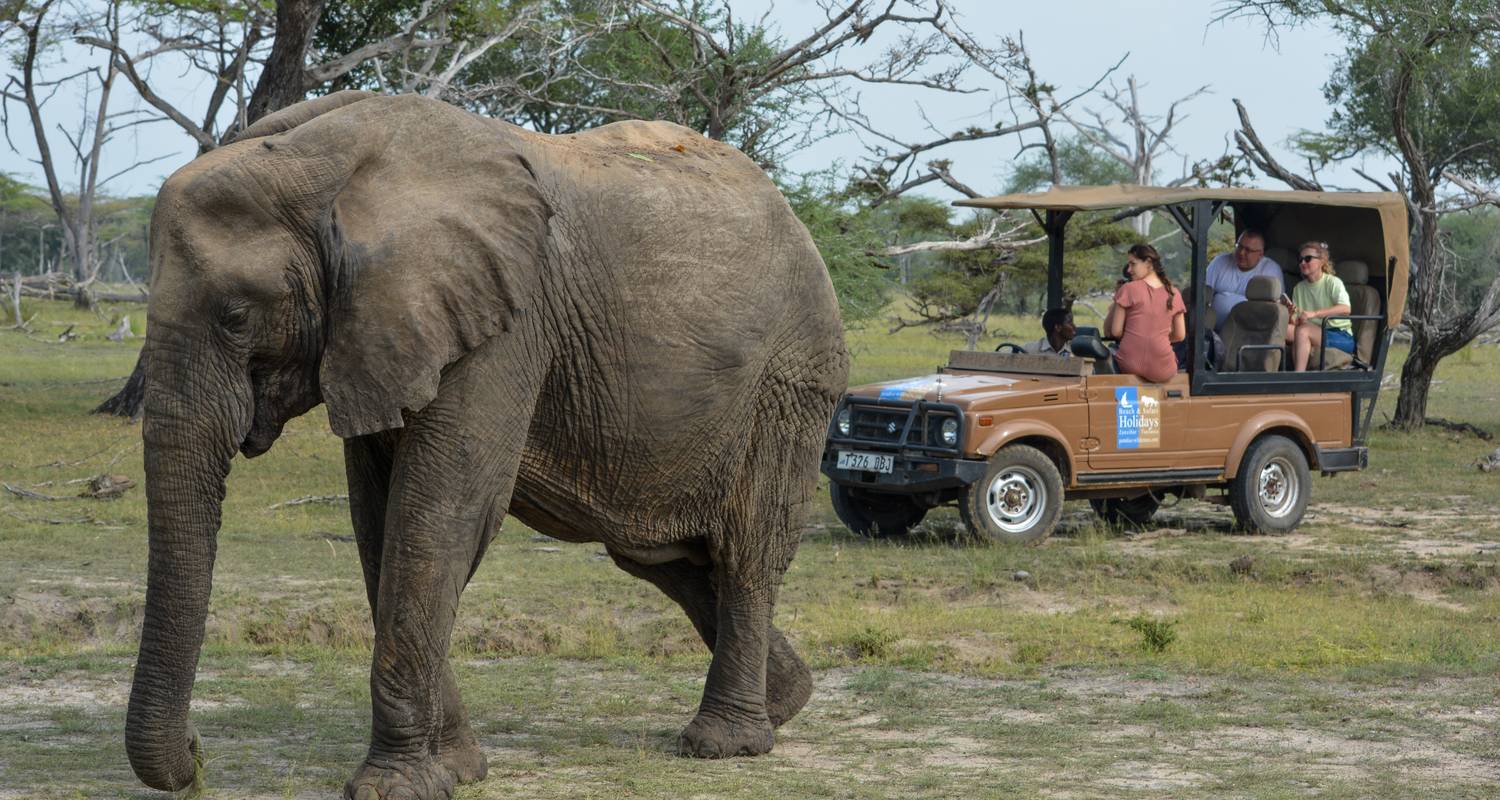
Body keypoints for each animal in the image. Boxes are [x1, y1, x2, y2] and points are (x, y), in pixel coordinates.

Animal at [123, 91, 852, 798]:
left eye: (235, 317)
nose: (197, 758)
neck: (321, 162)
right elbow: (381, 529)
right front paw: (459, 768)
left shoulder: (502, 324)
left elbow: (438, 518)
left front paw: (396, 787)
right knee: (660, 555)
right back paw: (787, 699)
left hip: (791, 382)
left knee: (746, 551)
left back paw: (724, 743)